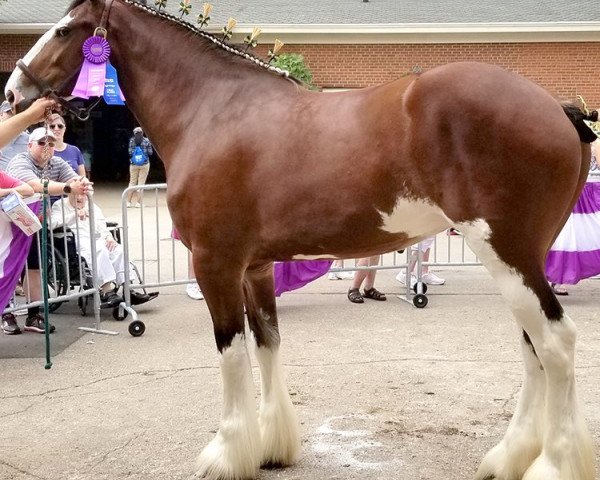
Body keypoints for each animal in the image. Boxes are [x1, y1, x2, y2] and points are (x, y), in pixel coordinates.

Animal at [5, 0, 600, 480]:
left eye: (64, 30)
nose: (15, 92)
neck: (213, 110)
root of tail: (558, 108)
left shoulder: (215, 264)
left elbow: (231, 352)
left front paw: (227, 454)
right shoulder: (254, 268)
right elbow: (268, 343)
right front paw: (271, 448)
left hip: (506, 253)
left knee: (556, 343)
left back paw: (551, 465)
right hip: (520, 260)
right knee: (533, 347)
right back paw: (508, 459)